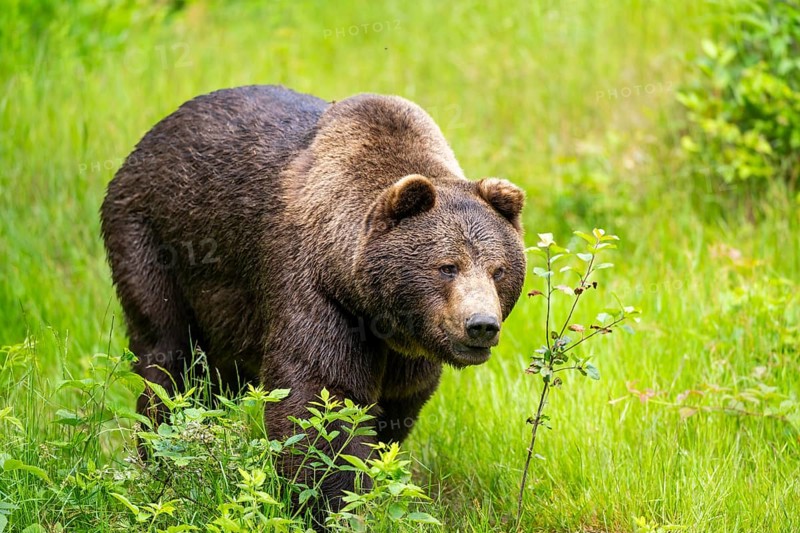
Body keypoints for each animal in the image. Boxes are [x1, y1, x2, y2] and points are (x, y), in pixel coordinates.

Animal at [100, 84, 526, 511]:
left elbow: (396, 405)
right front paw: (332, 501)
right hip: (153, 243)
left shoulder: (408, 352)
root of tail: (151, 137)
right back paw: (159, 455)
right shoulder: (315, 293)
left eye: (499, 270)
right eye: (447, 266)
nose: (481, 325)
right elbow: (318, 401)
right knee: (168, 359)